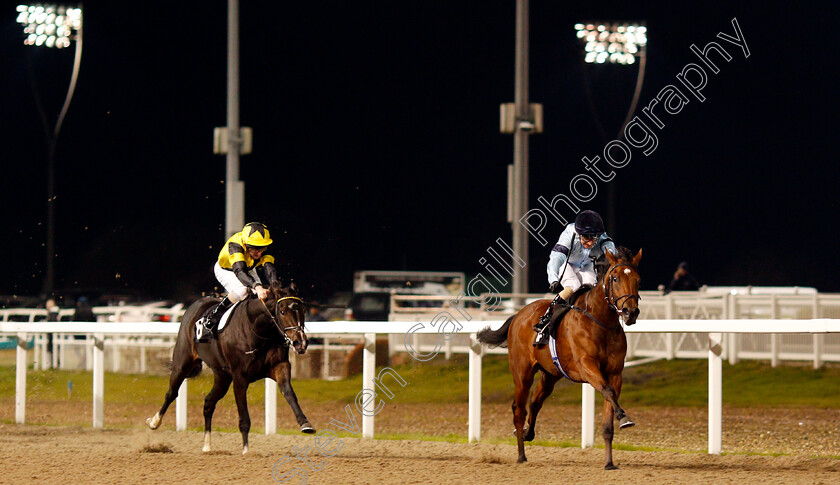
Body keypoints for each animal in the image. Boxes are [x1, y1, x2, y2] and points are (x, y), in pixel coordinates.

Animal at [144, 280, 316, 454]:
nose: (300, 343)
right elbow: (243, 416)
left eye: (303, 310)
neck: (258, 329)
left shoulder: (279, 366)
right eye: (282, 311)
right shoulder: (240, 376)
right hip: (183, 363)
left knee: (208, 402)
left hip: (222, 376)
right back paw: (154, 422)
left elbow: (289, 393)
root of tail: (195, 305)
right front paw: (246, 449)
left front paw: (305, 423)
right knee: (171, 393)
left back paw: (207, 445)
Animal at [480, 248, 644, 466]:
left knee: (535, 402)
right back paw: (521, 455)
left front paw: (609, 462)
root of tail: (518, 315)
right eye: (615, 278)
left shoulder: (615, 373)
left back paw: (527, 433)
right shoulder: (587, 366)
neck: (600, 321)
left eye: (638, 279)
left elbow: (609, 410)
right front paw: (624, 417)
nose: (630, 312)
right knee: (519, 409)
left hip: (550, 374)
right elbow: (607, 390)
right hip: (522, 373)